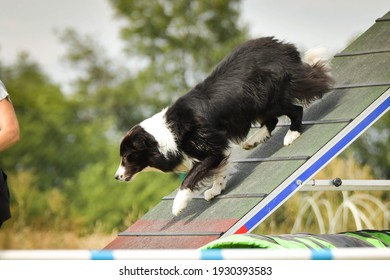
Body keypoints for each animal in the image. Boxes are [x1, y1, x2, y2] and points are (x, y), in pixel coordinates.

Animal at [114, 37, 334, 215]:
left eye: (126, 157)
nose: (116, 177)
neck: (165, 136)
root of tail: (284, 47)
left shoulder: (209, 146)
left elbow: (190, 177)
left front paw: (179, 205)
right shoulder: (214, 148)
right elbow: (218, 170)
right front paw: (216, 189)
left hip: (266, 97)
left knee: (296, 109)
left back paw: (291, 134)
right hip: (254, 104)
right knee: (271, 120)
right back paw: (252, 141)